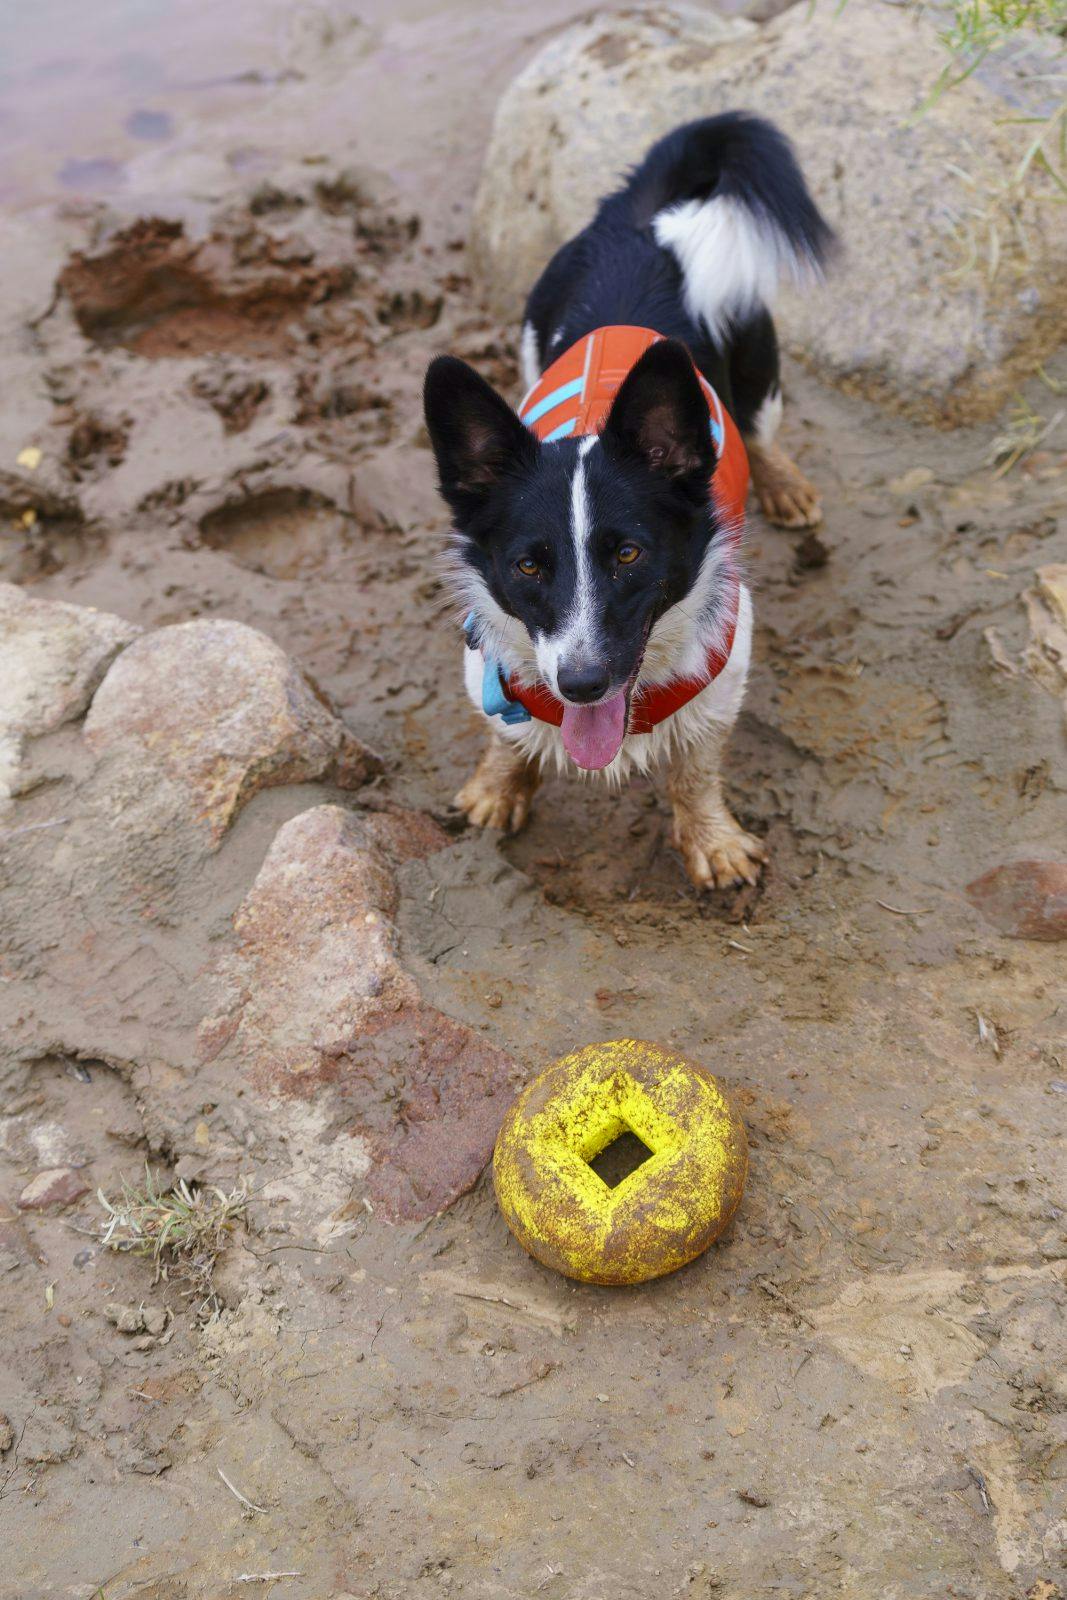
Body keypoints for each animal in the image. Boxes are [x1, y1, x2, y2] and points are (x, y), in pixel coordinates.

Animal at [422, 112, 831, 889]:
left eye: (630, 554)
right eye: (528, 566)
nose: (581, 685)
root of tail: (639, 221)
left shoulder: (720, 679)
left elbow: (695, 769)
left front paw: (713, 843)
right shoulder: (490, 663)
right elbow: (504, 734)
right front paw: (497, 789)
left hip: (756, 365)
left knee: (763, 429)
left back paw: (785, 485)